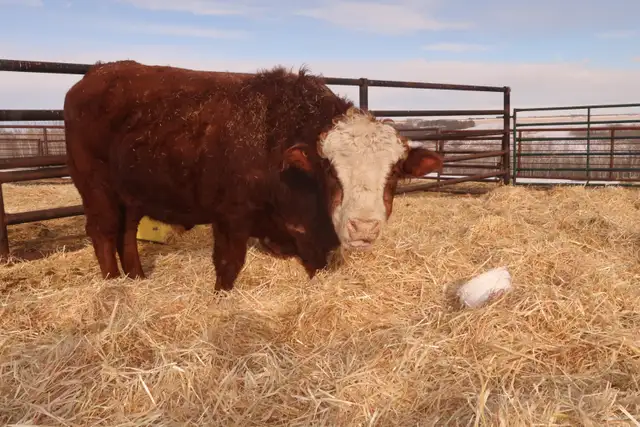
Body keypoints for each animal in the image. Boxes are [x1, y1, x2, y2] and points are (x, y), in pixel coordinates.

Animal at [63, 60, 443, 291]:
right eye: (331, 172)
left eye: (393, 175)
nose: (363, 227)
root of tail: (96, 73)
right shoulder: (230, 217)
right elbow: (229, 265)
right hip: (96, 188)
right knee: (103, 232)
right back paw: (113, 286)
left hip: (132, 193)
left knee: (127, 233)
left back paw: (137, 279)